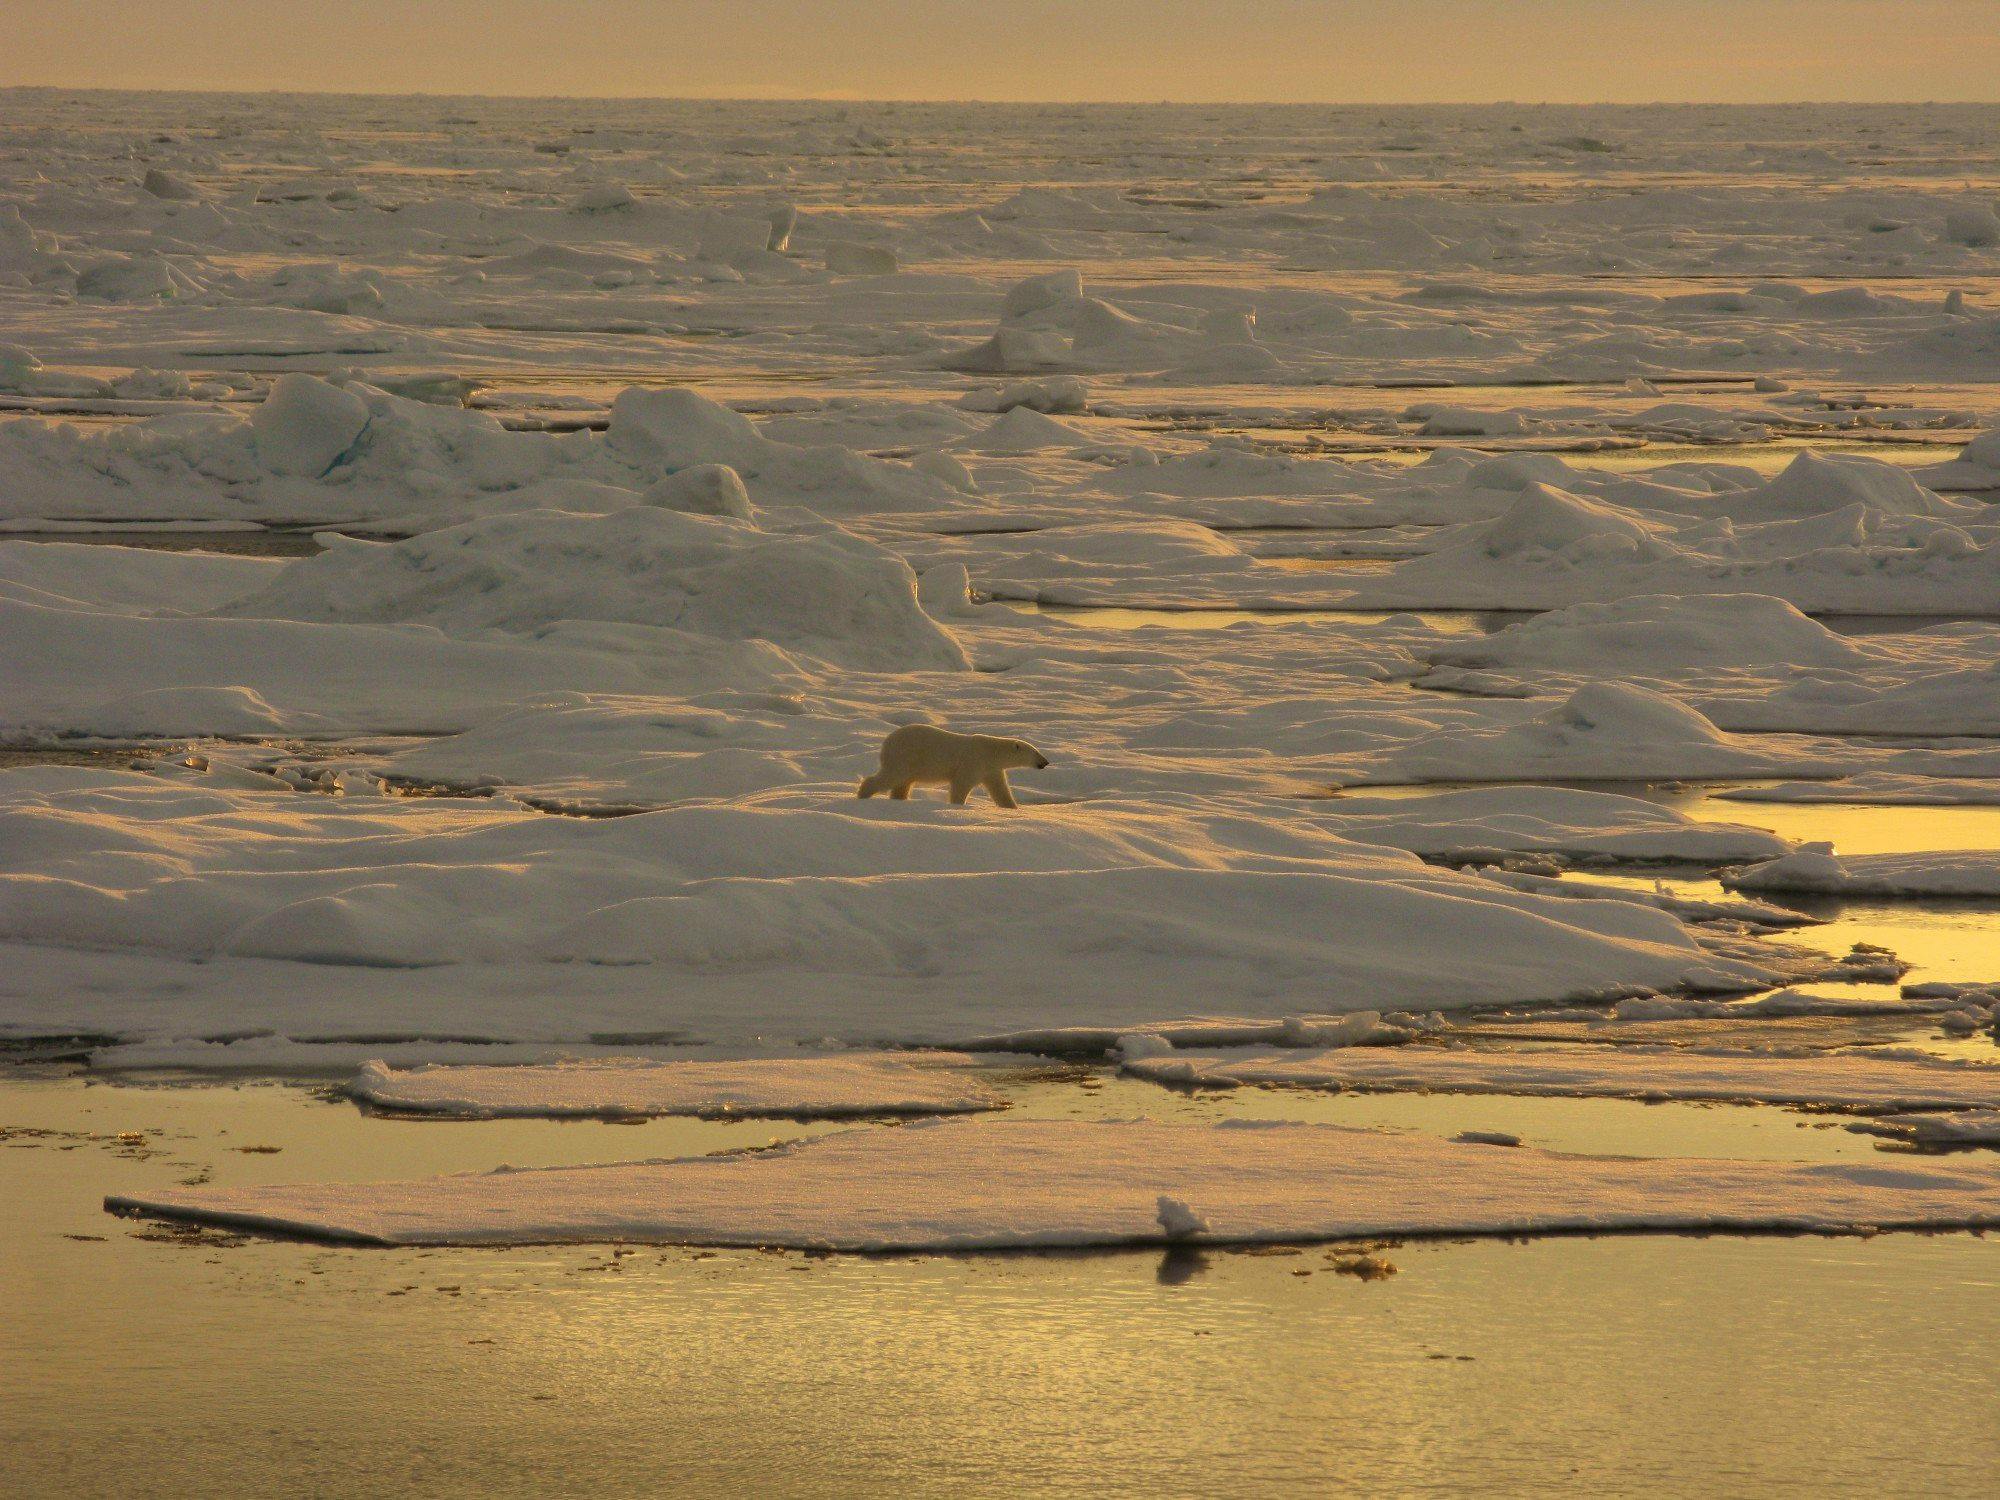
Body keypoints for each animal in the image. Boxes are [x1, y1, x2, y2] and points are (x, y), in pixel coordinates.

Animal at [856, 724, 1050, 808]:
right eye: (1035, 752)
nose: (1046, 762)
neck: (991, 752)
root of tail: (886, 742)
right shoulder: (973, 762)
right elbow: (961, 784)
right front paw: (958, 806)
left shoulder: (991, 769)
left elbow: (1000, 790)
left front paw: (1012, 808)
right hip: (904, 756)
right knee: (891, 776)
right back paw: (862, 794)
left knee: (902, 784)